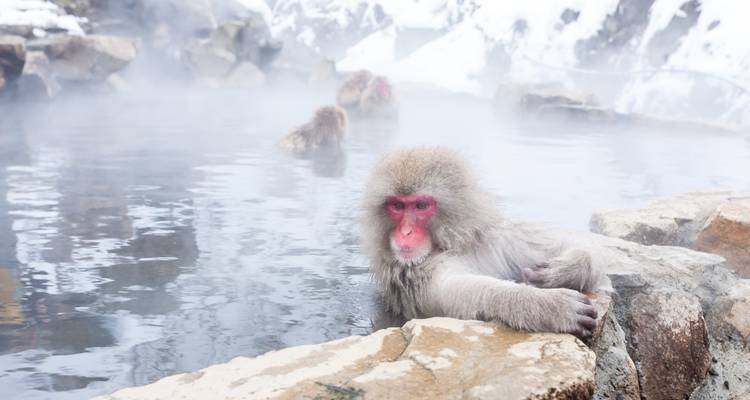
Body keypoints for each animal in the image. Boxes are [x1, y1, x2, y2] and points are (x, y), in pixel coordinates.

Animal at [360, 147, 601, 337]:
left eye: (420, 206)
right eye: (397, 206)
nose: (406, 232)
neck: (456, 244)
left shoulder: (497, 239)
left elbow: (559, 243)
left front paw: (564, 270)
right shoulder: (418, 278)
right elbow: (464, 293)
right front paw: (550, 306)